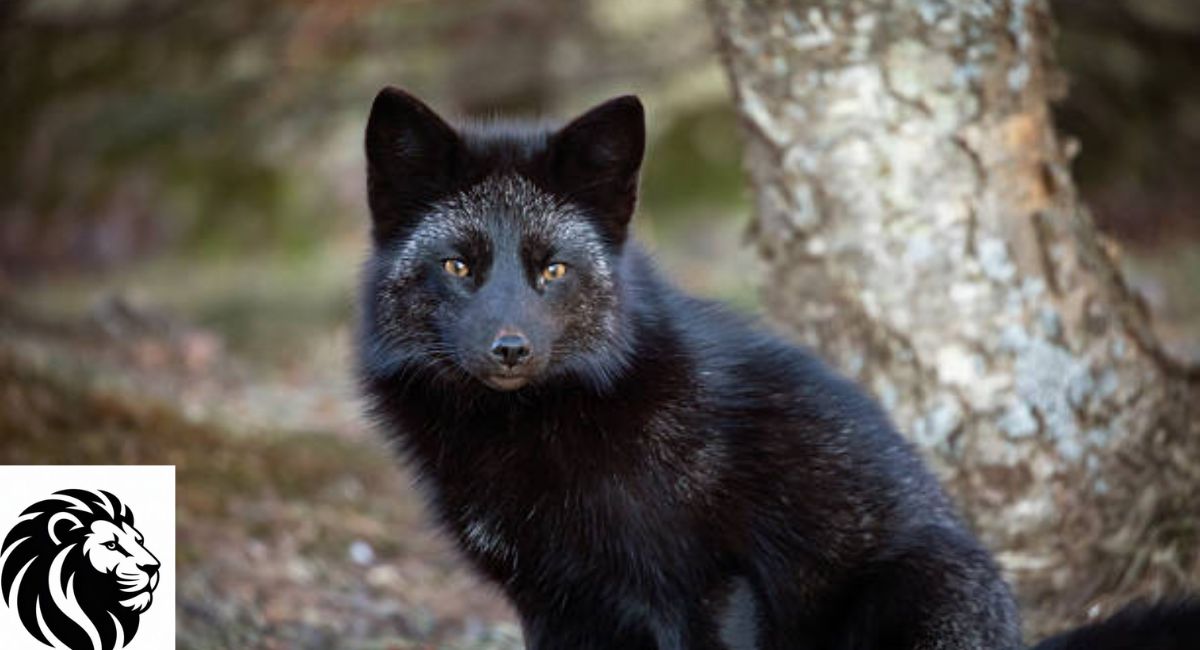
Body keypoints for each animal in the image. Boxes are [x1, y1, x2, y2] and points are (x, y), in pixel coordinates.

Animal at [356, 87, 1200, 649]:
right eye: (459, 266)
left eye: (553, 271)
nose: (510, 349)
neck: (538, 432)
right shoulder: (552, 603)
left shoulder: (706, 587)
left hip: (925, 588)